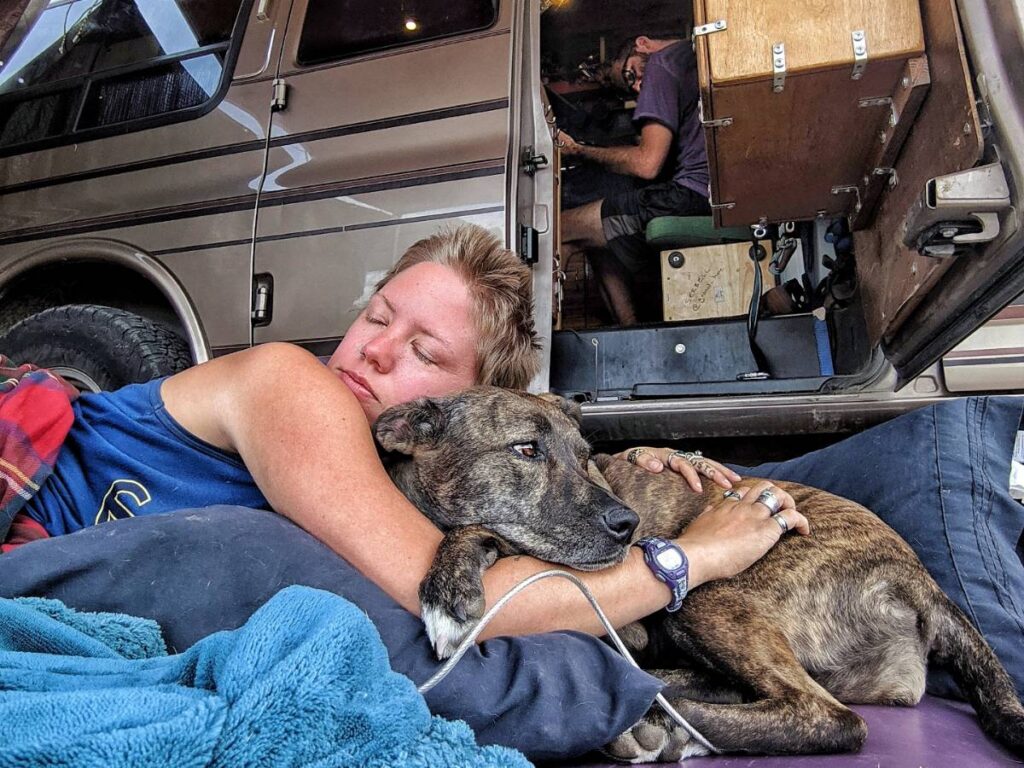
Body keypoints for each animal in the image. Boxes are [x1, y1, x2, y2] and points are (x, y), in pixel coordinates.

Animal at [374, 387, 1024, 761]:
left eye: (586, 457)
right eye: (526, 450)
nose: (628, 524)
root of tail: (921, 581)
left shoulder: (621, 614)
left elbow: (499, 537)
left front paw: (449, 590)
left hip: (709, 596)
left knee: (829, 718)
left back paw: (666, 725)